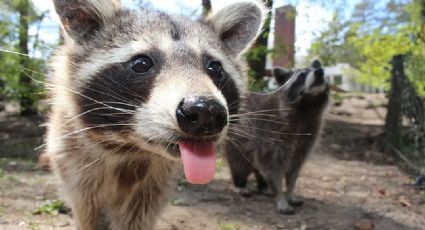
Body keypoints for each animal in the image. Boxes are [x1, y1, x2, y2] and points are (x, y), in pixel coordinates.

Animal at [44, 0, 266, 229]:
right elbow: (88, 210)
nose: (206, 111)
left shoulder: (155, 182)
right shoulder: (73, 162)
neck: (132, 148)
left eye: (215, 68)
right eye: (142, 63)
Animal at [225, 59, 328, 214]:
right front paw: (280, 195)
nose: (319, 72)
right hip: (238, 142)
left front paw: (289, 192)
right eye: (301, 76)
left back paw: (263, 186)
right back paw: (240, 184)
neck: (308, 106)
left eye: (321, 70)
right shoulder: (271, 132)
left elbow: (294, 169)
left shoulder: (307, 137)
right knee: (239, 164)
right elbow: (273, 167)